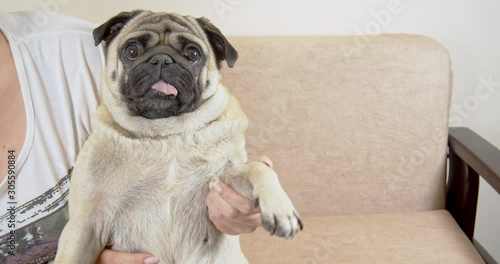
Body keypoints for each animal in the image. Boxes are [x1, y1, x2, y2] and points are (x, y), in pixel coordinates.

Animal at [55, 10, 304, 264]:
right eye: (132, 50)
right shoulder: (85, 224)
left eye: (193, 54)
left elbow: (258, 168)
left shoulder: (225, 180)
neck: (167, 135)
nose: (162, 59)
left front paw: (280, 208)